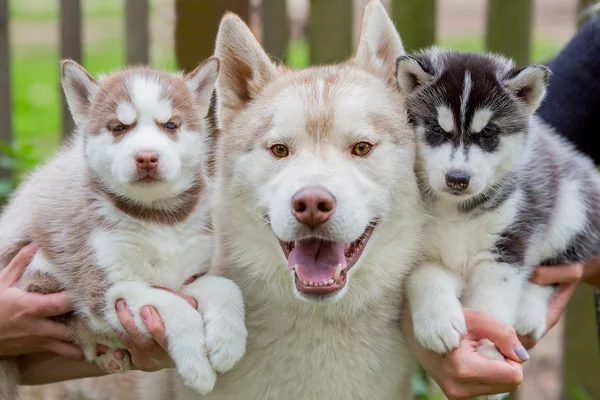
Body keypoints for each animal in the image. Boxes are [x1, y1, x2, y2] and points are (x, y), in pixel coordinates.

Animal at [400, 47, 600, 396]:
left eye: (488, 133)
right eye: (436, 130)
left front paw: (490, 354)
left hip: (572, 209)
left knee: (553, 271)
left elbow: (492, 304)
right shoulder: (415, 246)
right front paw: (437, 321)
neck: (455, 209)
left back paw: (529, 312)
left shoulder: (505, 248)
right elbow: (425, 275)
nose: (457, 178)